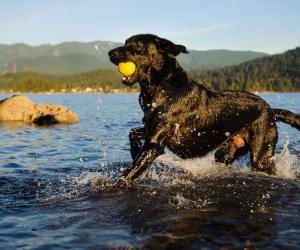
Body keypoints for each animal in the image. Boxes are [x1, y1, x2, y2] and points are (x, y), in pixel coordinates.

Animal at [108, 33, 300, 182]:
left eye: (137, 45)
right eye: (125, 42)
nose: (110, 53)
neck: (162, 88)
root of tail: (271, 110)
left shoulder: (155, 143)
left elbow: (128, 175)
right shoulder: (151, 131)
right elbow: (133, 132)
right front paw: (133, 150)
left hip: (261, 156)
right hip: (226, 151)